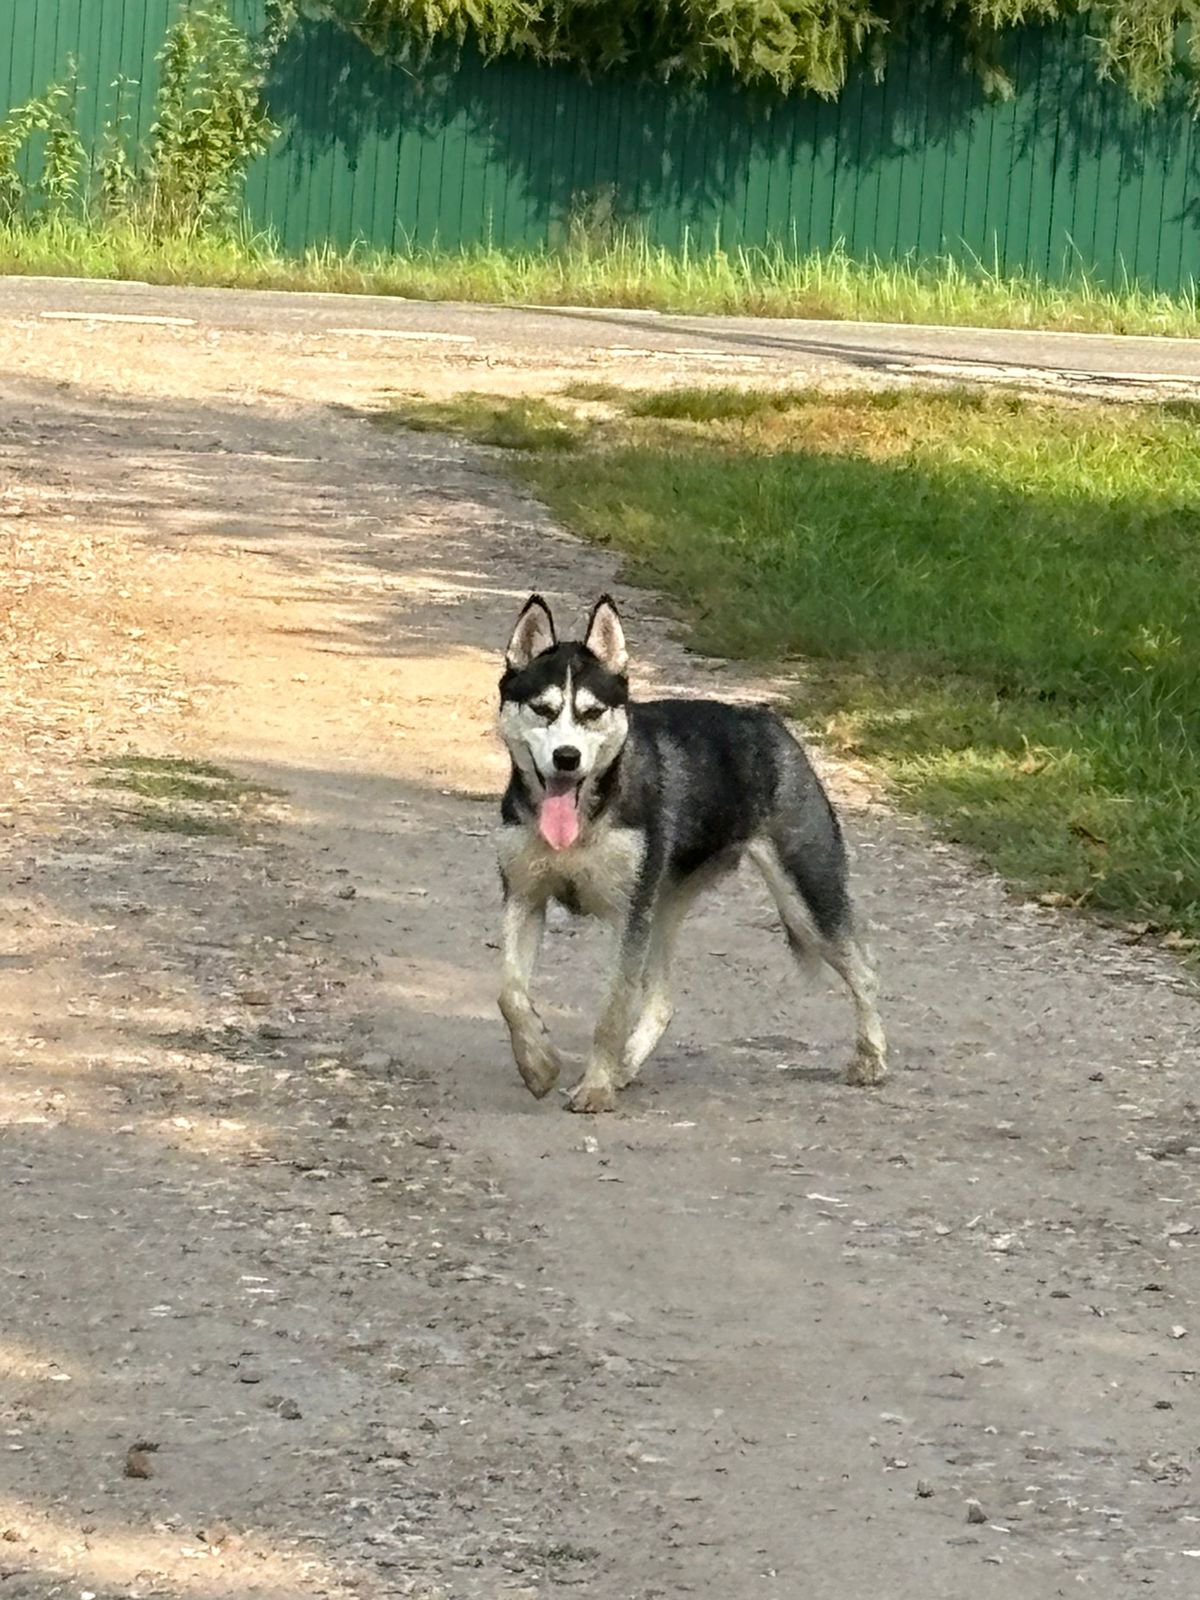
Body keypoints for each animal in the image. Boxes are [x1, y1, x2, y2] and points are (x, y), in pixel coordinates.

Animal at [492, 592, 889, 1113]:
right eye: (542, 709)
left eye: (592, 713)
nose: (567, 758)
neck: (589, 815)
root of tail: (768, 722)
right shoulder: (525, 898)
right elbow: (511, 994)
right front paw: (538, 1064)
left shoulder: (629, 920)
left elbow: (612, 1010)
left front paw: (595, 1087)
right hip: (664, 908)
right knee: (662, 1000)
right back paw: (625, 1067)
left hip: (806, 900)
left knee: (864, 968)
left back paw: (871, 1057)